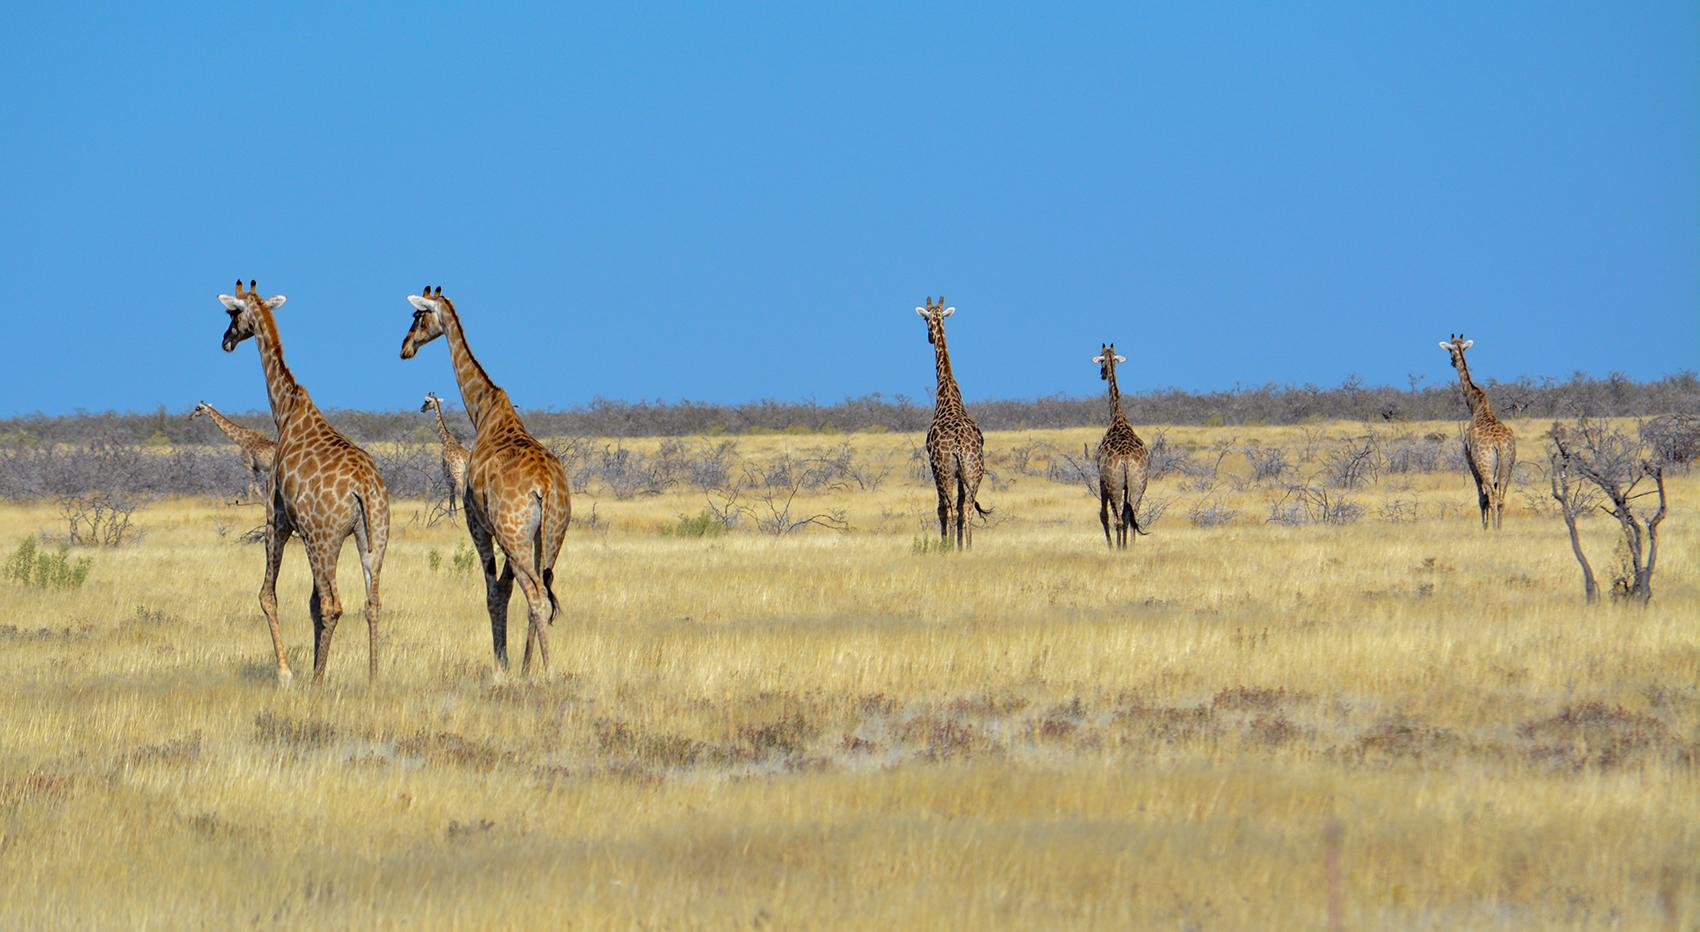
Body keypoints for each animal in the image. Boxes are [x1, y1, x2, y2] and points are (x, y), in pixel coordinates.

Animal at [217, 280, 391, 684]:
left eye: (232, 313)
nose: (225, 341)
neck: (284, 411)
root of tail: (364, 489)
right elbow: (309, 603)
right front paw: (311, 666)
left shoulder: (276, 516)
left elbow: (268, 596)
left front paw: (287, 674)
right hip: (373, 536)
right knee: (371, 601)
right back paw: (373, 678)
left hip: (321, 537)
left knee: (333, 604)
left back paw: (316, 682)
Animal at [400, 286, 571, 675]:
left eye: (418, 317)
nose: (405, 348)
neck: (482, 411)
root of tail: (546, 487)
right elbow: (505, 590)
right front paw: (514, 664)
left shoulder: (477, 522)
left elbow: (493, 592)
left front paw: (500, 664)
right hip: (549, 535)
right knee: (542, 587)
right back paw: (533, 667)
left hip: (514, 533)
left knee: (535, 593)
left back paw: (549, 671)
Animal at [916, 296, 990, 549]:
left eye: (925, 319)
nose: (929, 337)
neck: (947, 390)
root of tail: (958, 445)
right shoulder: (961, 475)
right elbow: (960, 508)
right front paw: (960, 545)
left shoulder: (934, 466)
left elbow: (942, 509)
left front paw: (947, 545)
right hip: (974, 471)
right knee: (967, 508)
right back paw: (969, 547)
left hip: (944, 471)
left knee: (947, 508)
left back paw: (949, 546)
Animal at [1092, 343, 1149, 549]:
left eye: (1101, 360)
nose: (1101, 375)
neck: (1117, 416)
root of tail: (1125, 457)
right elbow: (1126, 516)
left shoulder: (1102, 480)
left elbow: (1103, 515)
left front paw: (1112, 547)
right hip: (1139, 483)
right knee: (1133, 515)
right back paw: (1130, 547)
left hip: (1114, 484)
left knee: (1117, 518)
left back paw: (1118, 548)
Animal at [1439, 333, 1517, 530]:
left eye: (1450, 350)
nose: (1452, 362)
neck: (1476, 405)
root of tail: (1499, 444)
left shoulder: (1470, 459)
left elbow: (1482, 499)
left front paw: (1485, 527)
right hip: (1507, 466)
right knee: (1502, 498)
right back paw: (1500, 529)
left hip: (1485, 467)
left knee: (1491, 497)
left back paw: (1493, 530)